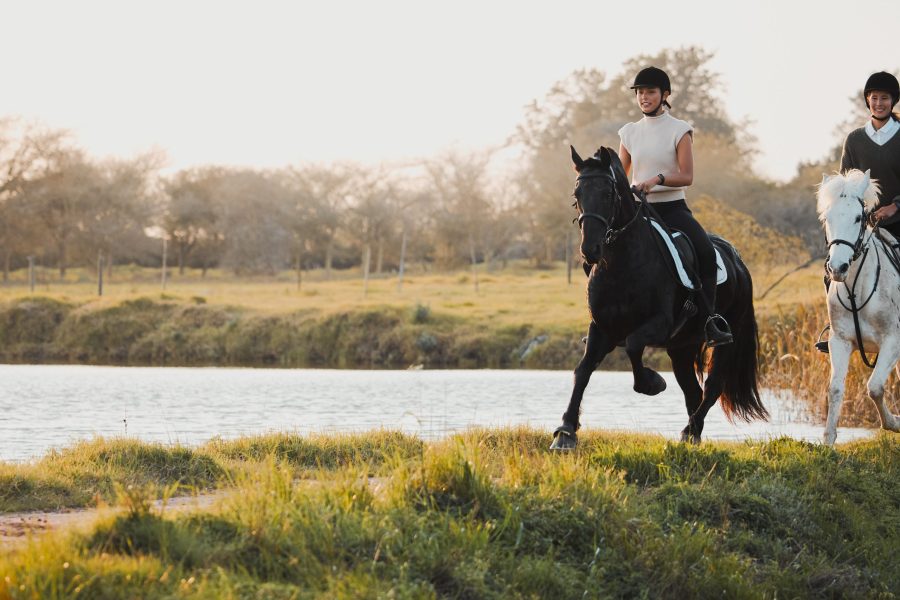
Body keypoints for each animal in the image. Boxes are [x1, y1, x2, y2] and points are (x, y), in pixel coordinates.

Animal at [549, 146, 768, 450]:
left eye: (608, 193)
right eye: (577, 194)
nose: (590, 250)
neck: (622, 262)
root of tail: (738, 261)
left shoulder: (660, 323)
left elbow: (632, 345)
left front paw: (653, 383)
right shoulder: (601, 328)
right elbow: (582, 371)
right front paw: (566, 431)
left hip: (725, 338)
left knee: (712, 387)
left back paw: (690, 430)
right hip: (682, 346)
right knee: (693, 391)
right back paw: (692, 435)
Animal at [817, 169, 900, 445]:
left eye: (857, 218)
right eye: (827, 218)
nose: (838, 268)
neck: (857, 290)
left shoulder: (893, 341)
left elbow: (874, 387)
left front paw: (894, 423)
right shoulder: (840, 341)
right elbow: (834, 389)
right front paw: (828, 442)